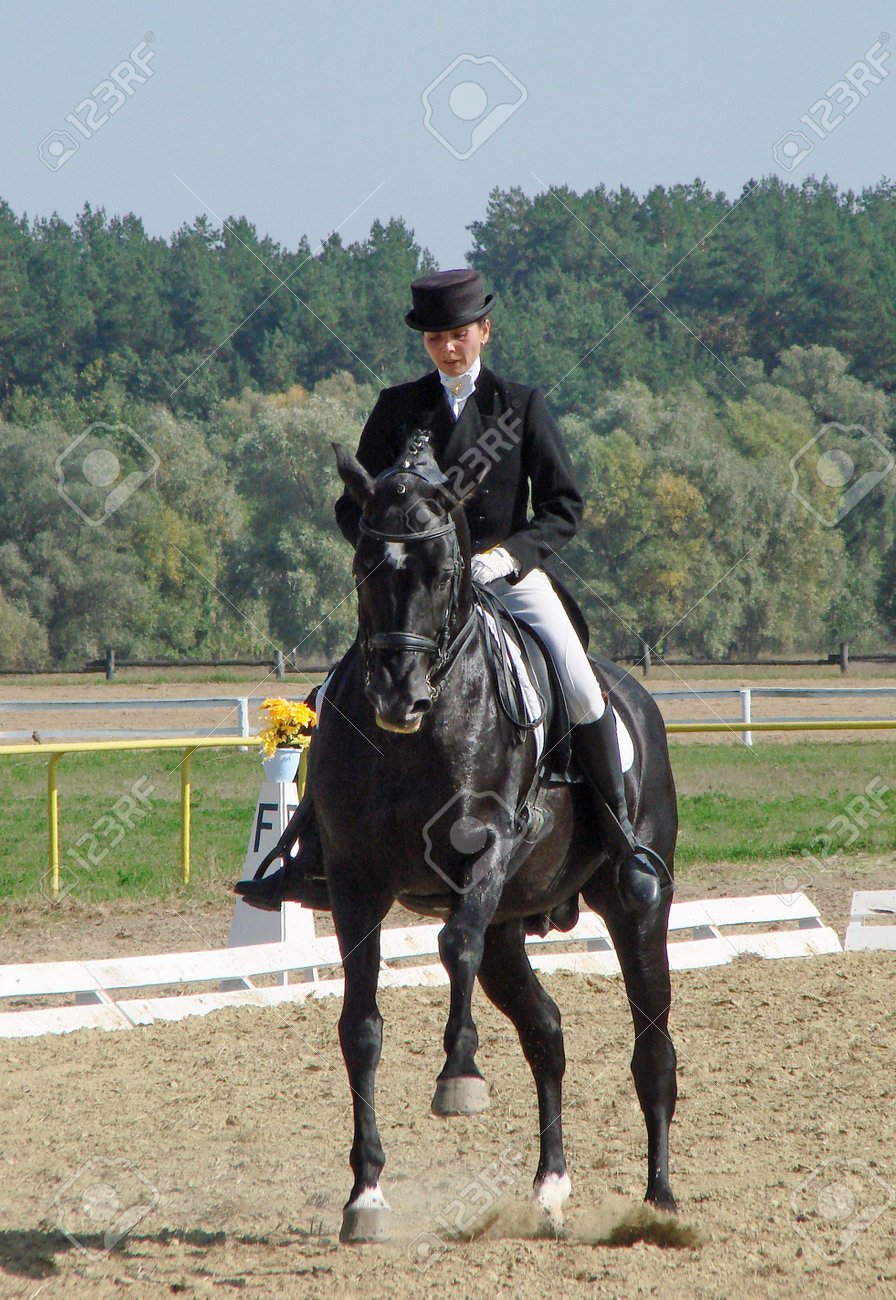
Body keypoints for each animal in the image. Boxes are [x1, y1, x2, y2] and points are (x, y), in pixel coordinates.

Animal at [305, 438, 678, 1243]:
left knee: (653, 1048)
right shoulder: (355, 884)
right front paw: (365, 1195)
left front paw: (460, 1077)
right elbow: (361, 1028)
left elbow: (454, 946)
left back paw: (660, 1202)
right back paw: (549, 1190)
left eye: (445, 572)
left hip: (638, 909)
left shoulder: (489, 848)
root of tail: (634, 695)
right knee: (547, 1034)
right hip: (514, 927)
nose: (400, 696)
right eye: (363, 566)